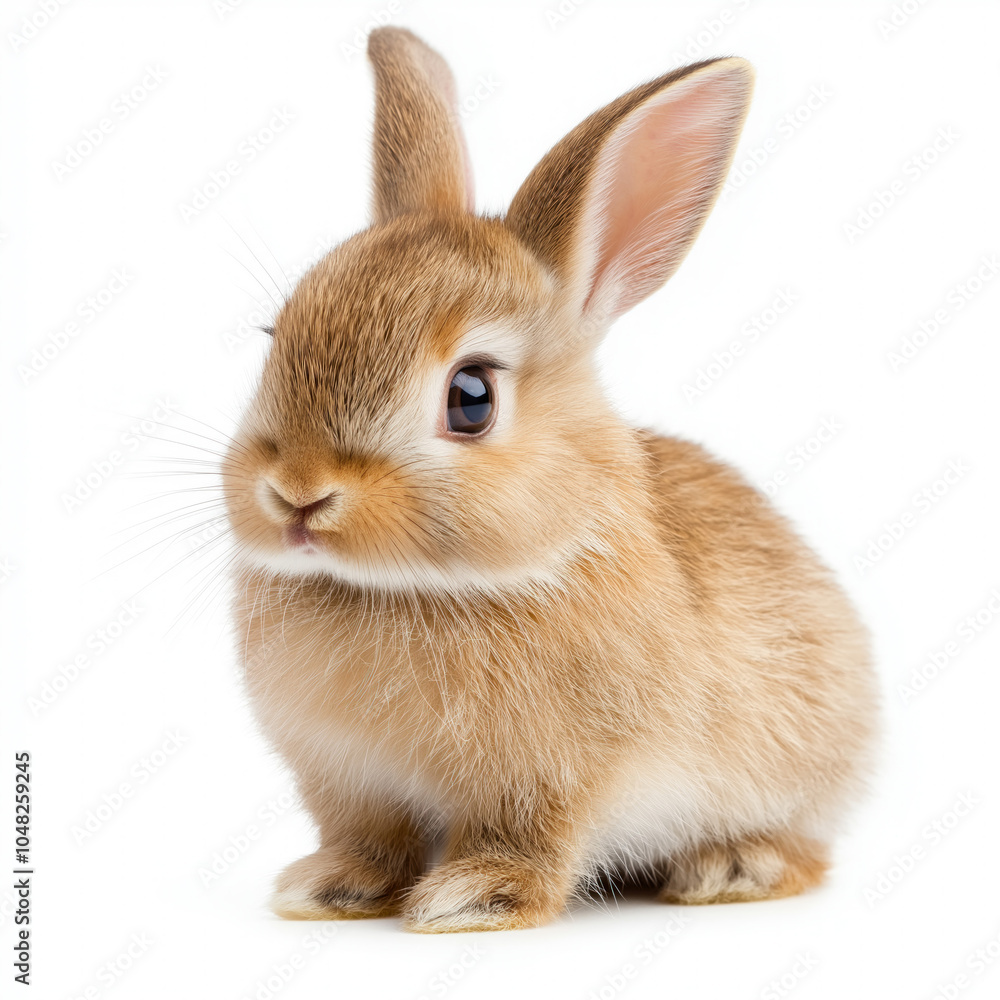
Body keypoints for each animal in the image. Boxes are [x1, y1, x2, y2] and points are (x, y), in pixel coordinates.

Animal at [221, 26, 879, 933]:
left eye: (471, 397)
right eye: (275, 335)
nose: (296, 493)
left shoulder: (553, 781)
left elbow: (530, 839)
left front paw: (472, 897)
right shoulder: (347, 781)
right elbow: (370, 840)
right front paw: (329, 887)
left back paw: (730, 868)